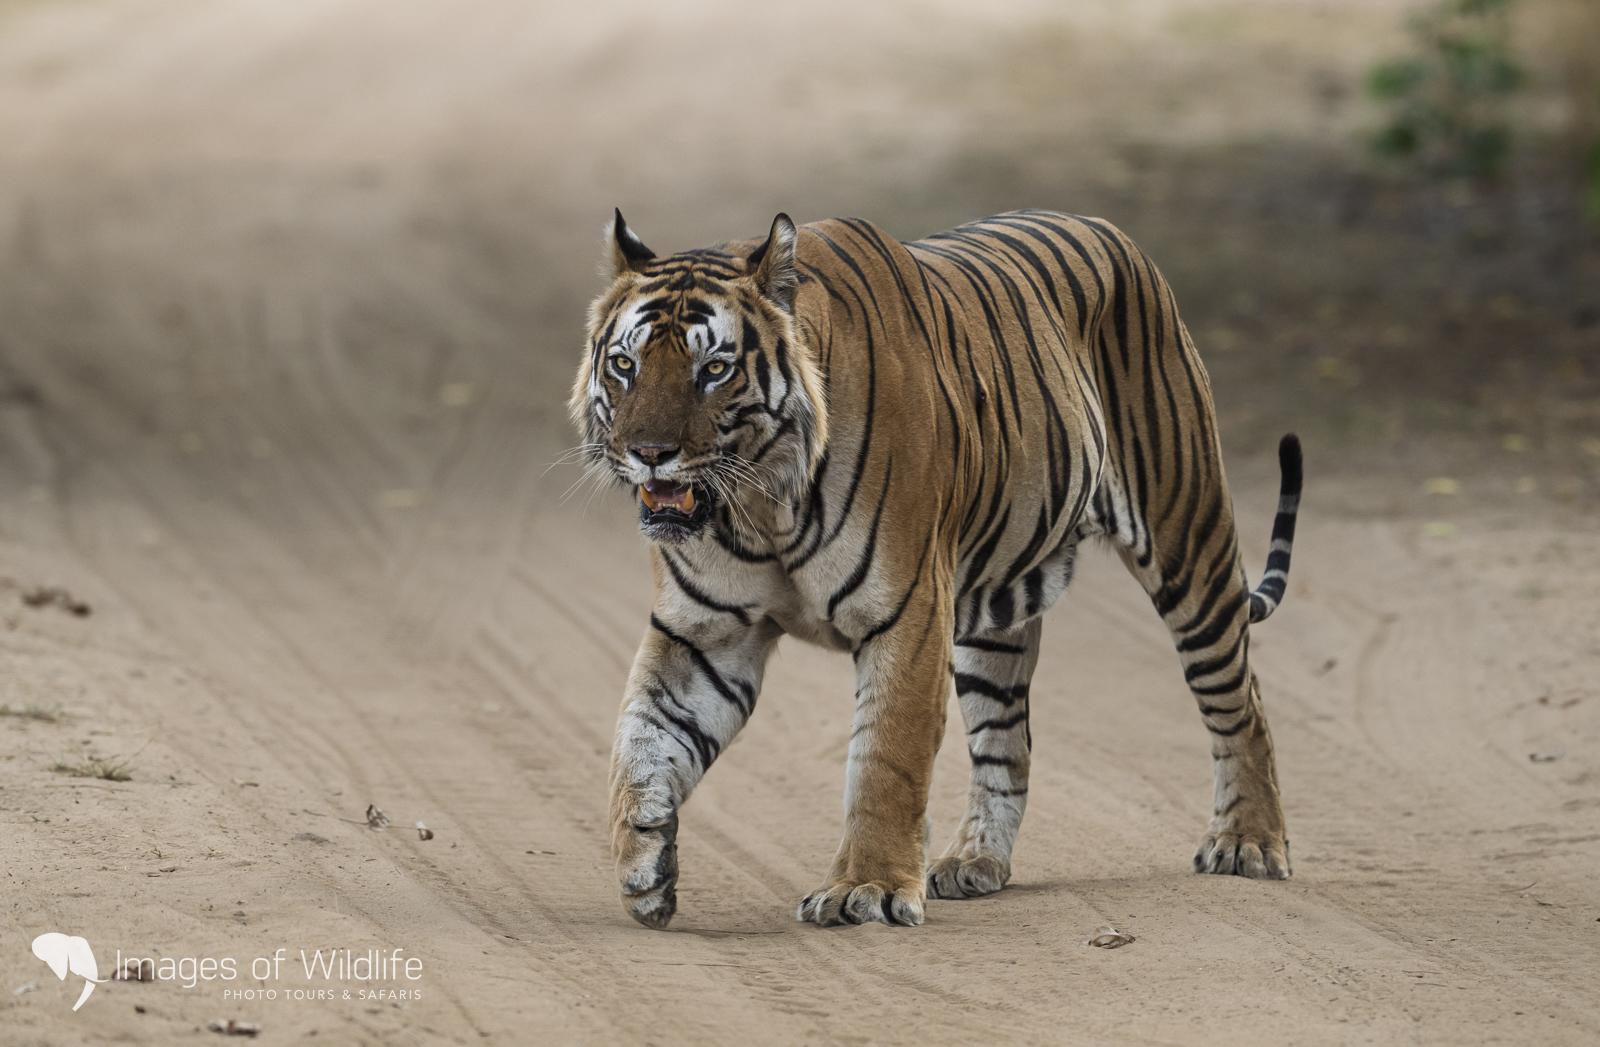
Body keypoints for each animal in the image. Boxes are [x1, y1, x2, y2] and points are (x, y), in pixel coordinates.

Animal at [570, 207, 1302, 929]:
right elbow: (639, 739)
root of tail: (1113, 231)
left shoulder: (908, 612)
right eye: (625, 364)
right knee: (1008, 744)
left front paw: (865, 888)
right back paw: (975, 861)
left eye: (715, 369)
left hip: (1189, 542)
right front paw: (644, 865)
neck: (762, 501)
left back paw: (1249, 842)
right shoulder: (706, 633)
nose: (648, 453)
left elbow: (885, 760)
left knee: (1240, 700)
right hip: (996, 616)